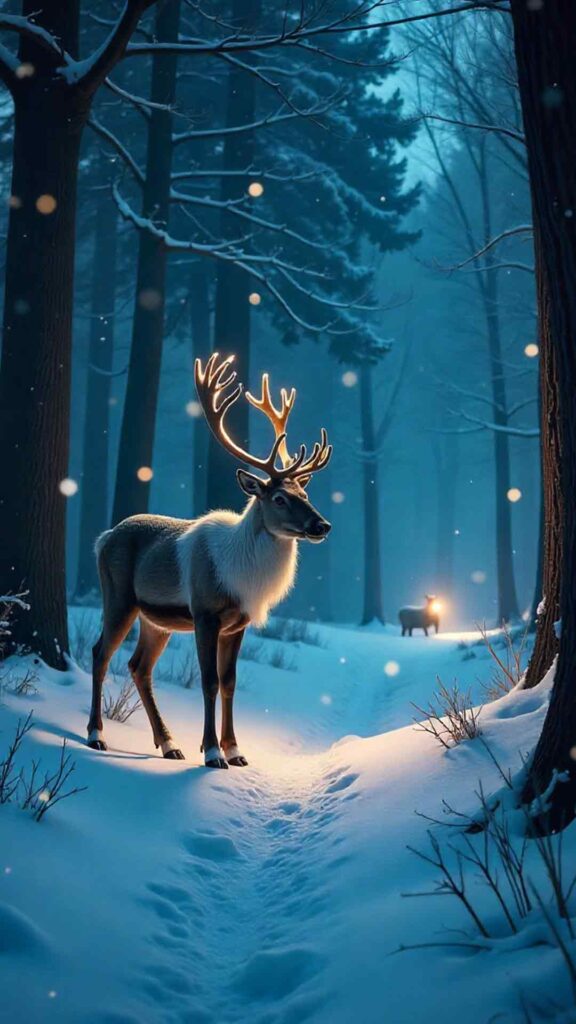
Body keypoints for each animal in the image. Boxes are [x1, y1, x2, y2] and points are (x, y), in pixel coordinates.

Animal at [88, 353, 332, 768]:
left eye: (304, 493)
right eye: (279, 498)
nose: (322, 525)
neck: (243, 575)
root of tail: (103, 537)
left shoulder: (238, 623)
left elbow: (230, 681)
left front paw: (235, 750)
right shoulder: (205, 612)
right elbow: (209, 680)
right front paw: (213, 752)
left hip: (157, 620)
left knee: (139, 666)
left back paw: (169, 744)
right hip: (118, 597)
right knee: (100, 652)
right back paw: (96, 736)